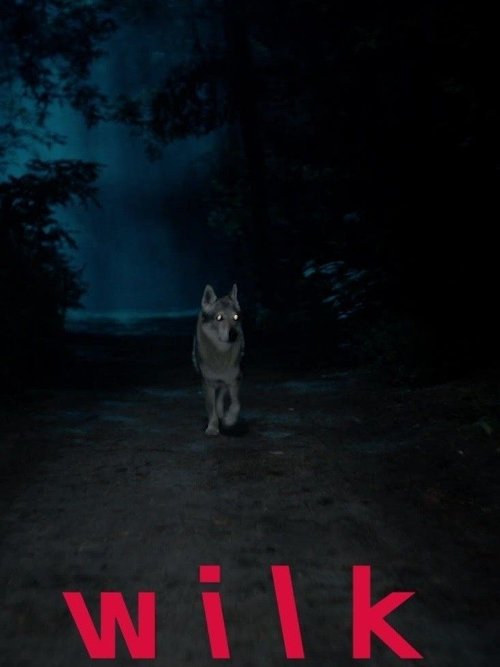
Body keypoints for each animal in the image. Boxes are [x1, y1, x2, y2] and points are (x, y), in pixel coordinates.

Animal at [192, 284, 244, 435]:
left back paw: (222, 413)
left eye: (235, 317)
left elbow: (236, 404)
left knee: (221, 394)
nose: (233, 334)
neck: (221, 354)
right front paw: (212, 428)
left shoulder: (235, 379)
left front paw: (229, 420)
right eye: (219, 317)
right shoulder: (207, 382)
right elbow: (211, 407)